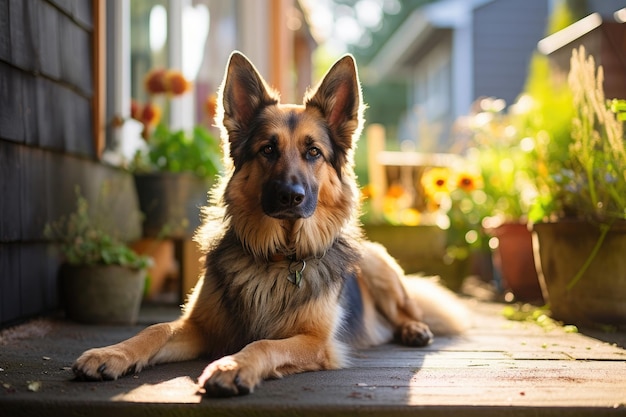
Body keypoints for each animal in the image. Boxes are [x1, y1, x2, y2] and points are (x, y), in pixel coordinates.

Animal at [70, 51, 466, 396]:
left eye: (313, 152)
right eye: (267, 149)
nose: (291, 196)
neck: (279, 257)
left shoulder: (314, 341)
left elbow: (263, 343)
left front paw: (232, 366)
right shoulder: (198, 326)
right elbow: (155, 329)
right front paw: (112, 353)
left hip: (376, 261)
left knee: (409, 308)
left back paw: (415, 328)